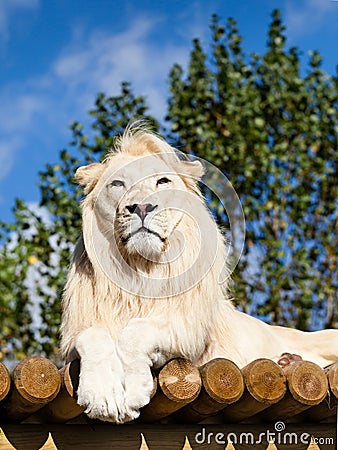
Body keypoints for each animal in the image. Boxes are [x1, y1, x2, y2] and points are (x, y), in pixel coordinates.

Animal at [60, 123, 338, 422]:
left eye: (162, 182)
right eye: (117, 184)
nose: (142, 207)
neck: (140, 270)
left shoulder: (189, 331)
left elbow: (135, 333)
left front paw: (133, 391)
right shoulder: (77, 334)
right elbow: (94, 337)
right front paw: (102, 396)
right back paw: (288, 361)